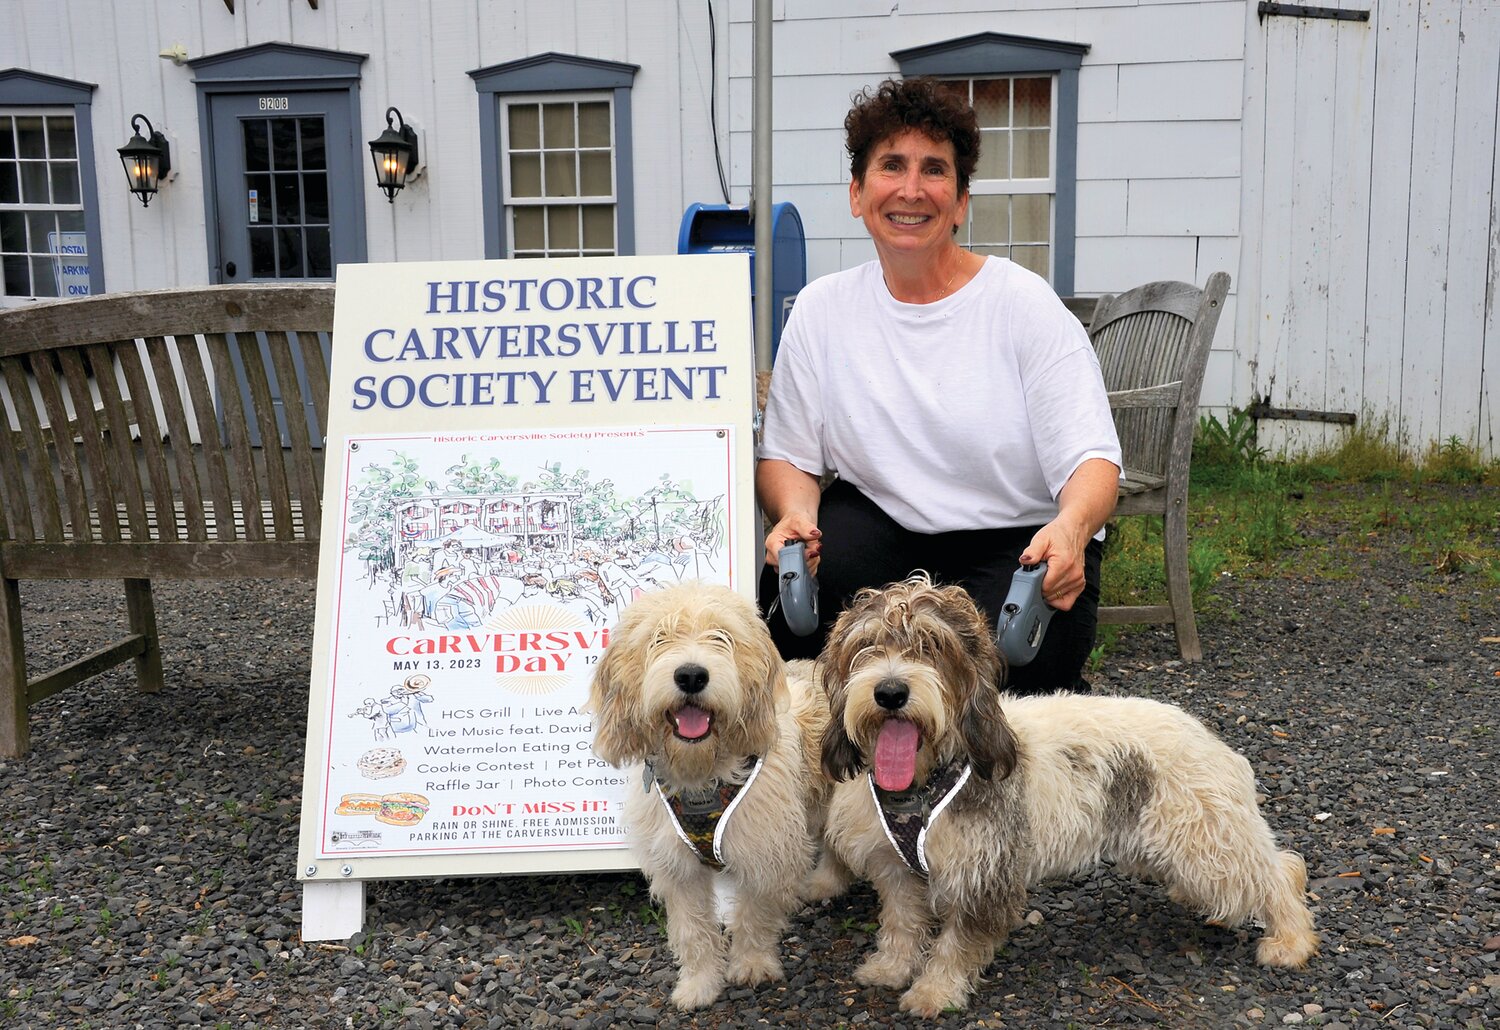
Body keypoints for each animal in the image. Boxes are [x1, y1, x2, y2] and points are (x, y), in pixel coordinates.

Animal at [585, 584, 846, 1013]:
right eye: (659, 638)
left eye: (721, 637)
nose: (691, 675)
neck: (703, 776)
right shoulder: (679, 869)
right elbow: (693, 931)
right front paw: (699, 984)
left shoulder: (765, 854)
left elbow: (755, 916)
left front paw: (752, 964)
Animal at [822, 575, 1326, 1019]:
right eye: (865, 645)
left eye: (932, 644)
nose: (890, 692)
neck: (924, 784)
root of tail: (1206, 736)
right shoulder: (895, 868)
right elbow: (902, 925)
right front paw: (890, 969)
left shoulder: (984, 876)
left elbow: (955, 946)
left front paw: (934, 992)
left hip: (1206, 846)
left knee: (1279, 872)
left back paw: (1291, 941)